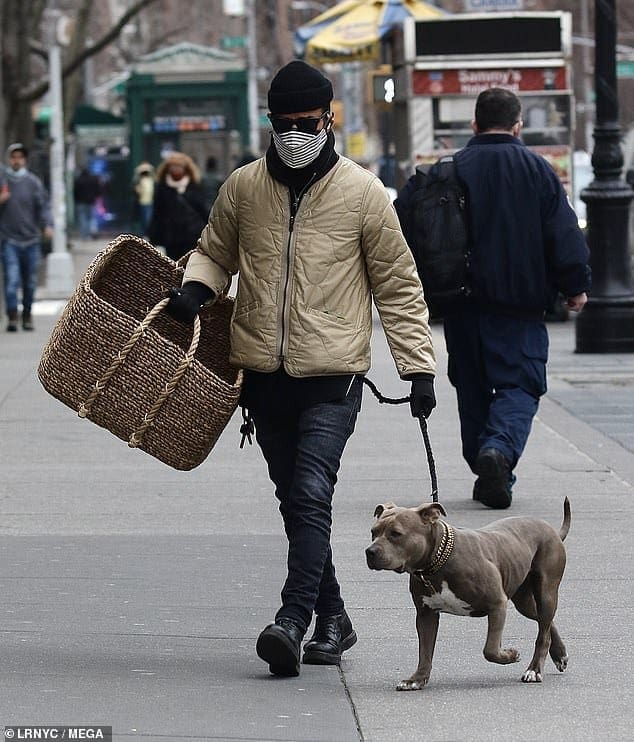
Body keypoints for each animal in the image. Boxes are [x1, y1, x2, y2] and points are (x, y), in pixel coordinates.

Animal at [362, 500, 572, 692]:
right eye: (373, 532)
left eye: (396, 534)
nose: (369, 551)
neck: (437, 562)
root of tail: (551, 529)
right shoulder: (426, 615)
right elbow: (425, 652)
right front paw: (417, 679)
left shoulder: (497, 604)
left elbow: (490, 649)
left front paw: (510, 655)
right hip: (524, 599)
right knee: (544, 622)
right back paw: (560, 654)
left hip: (546, 591)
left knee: (543, 632)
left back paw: (534, 670)